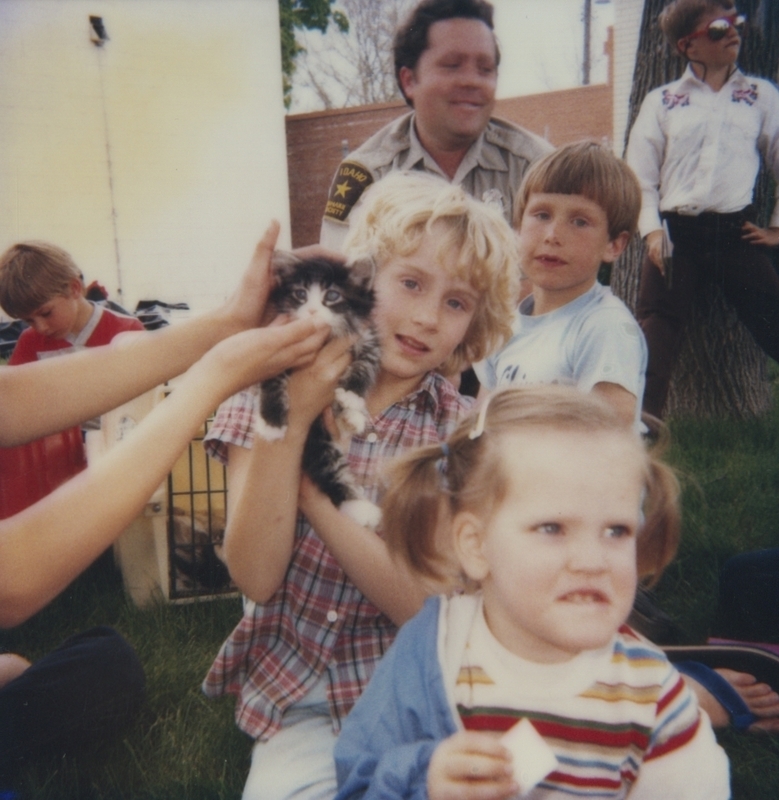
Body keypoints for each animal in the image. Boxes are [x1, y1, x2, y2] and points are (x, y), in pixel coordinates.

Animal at [258, 253, 382, 528]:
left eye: (332, 295)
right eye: (300, 294)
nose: (313, 311)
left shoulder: (368, 339)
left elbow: (365, 367)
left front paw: (352, 395)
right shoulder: (280, 353)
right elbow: (272, 381)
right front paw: (271, 421)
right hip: (315, 434)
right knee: (329, 465)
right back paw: (359, 508)